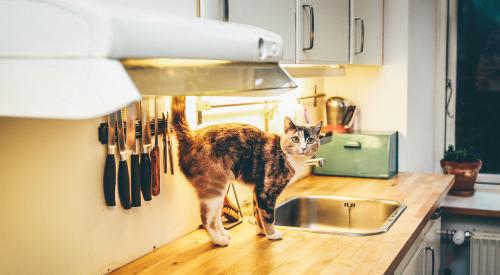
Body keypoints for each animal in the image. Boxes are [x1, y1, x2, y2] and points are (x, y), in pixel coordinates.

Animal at [170, 97, 322, 248]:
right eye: (295, 139)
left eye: (310, 140)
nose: (303, 148)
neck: (286, 155)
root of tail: (190, 136)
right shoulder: (266, 191)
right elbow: (268, 216)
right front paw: (272, 234)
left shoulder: (257, 191)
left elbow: (257, 213)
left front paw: (261, 232)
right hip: (213, 188)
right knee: (206, 218)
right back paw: (219, 240)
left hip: (220, 190)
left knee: (216, 216)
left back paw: (224, 233)